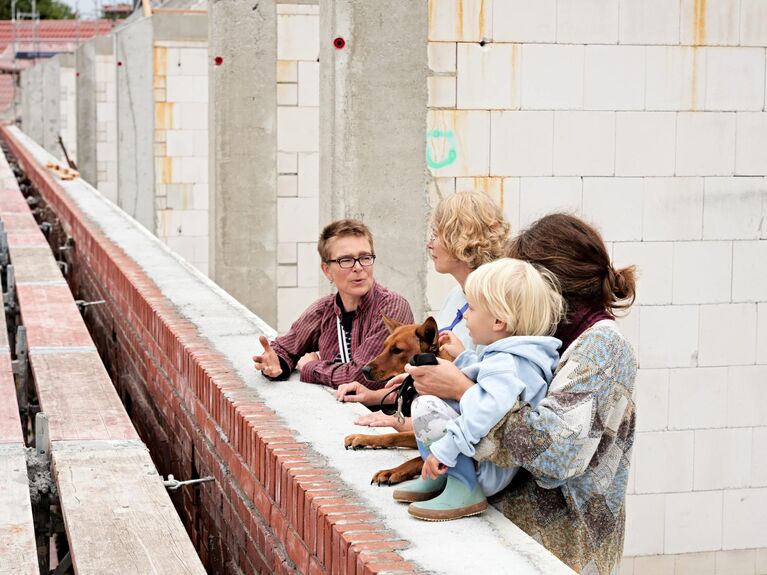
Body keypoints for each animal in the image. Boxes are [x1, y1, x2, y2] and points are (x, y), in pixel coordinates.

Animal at [344, 316, 452, 486]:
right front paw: (363, 437)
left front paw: (392, 471)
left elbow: (419, 460)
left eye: (397, 350)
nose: (364, 370)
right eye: (384, 347)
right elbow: (391, 436)